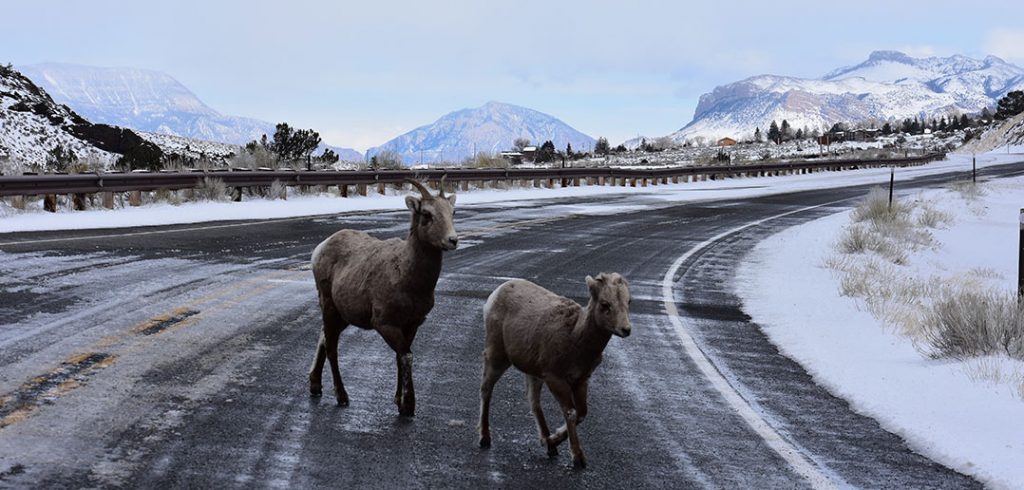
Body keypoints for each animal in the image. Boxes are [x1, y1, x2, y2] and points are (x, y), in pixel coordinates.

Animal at [309, 177, 458, 415]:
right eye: (427, 214)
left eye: (452, 211)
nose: (452, 240)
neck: (409, 280)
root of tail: (319, 250)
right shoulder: (384, 323)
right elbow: (406, 356)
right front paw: (408, 405)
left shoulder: (412, 323)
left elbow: (400, 357)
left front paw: (398, 399)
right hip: (328, 305)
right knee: (332, 346)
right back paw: (342, 396)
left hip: (344, 314)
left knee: (323, 336)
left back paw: (315, 385)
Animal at [477, 274, 630, 470]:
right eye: (605, 304)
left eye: (628, 301)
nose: (626, 329)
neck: (575, 337)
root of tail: (497, 293)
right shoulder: (555, 378)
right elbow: (571, 412)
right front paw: (578, 458)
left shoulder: (581, 380)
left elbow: (582, 412)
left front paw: (552, 441)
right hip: (497, 355)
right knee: (486, 388)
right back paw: (484, 438)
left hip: (533, 373)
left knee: (533, 401)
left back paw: (548, 444)